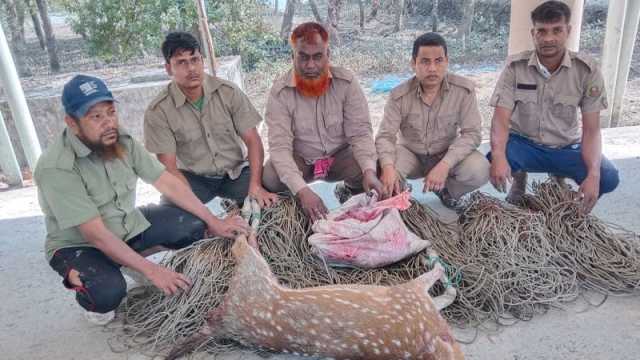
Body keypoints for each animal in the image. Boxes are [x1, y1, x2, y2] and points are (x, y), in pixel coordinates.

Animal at [168, 233, 462, 360]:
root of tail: (221, 323)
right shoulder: (408, 294)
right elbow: (440, 282)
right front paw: (430, 254)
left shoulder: (416, 301)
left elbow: (448, 294)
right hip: (255, 276)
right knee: (242, 245)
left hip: (252, 281)